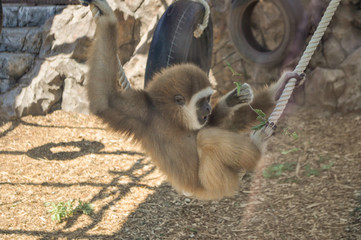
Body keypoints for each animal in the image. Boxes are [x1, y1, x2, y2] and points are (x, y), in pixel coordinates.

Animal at [82, 0, 304, 200]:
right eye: (201, 102)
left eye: (208, 99)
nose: (207, 108)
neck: (172, 118)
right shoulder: (141, 113)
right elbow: (105, 102)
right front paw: (108, 20)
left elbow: (217, 125)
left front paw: (252, 94)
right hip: (216, 184)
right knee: (207, 138)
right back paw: (257, 147)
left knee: (210, 133)